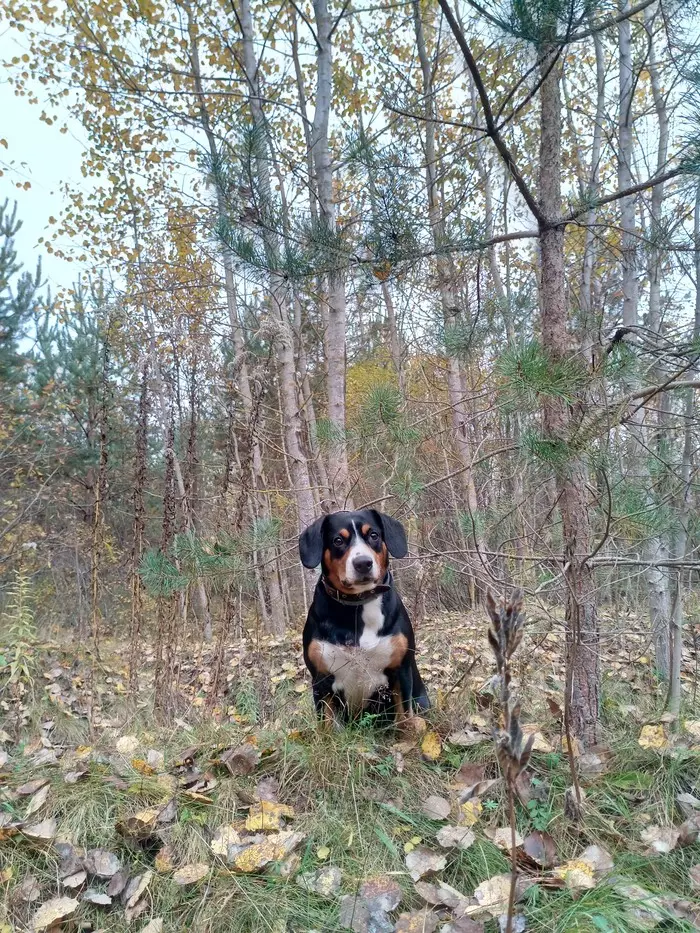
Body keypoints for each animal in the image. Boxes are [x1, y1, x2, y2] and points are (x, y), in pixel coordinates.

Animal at [298, 510, 430, 728]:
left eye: (374, 535)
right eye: (338, 540)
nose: (363, 563)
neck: (357, 608)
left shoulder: (400, 671)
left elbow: (404, 718)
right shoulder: (320, 678)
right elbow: (326, 726)